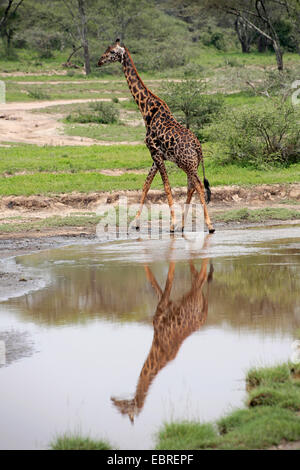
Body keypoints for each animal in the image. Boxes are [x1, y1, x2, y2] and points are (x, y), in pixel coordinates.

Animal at [97, 39, 214, 234]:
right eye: (106, 49)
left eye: (112, 51)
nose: (99, 61)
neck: (146, 110)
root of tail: (199, 148)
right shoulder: (155, 155)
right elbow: (146, 185)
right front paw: (135, 222)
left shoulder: (155, 153)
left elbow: (166, 186)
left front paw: (172, 223)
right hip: (191, 164)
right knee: (191, 186)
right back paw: (184, 224)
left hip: (186, 164)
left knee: (197, 185)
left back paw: (209, 225)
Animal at [110, 239, 213, 422]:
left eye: (123, 410)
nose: (113, 400)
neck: (159, 343)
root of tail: (205, 312)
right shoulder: (164, 304)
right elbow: (155, 282)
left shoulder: (162, 307)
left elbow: (167, 279)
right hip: (195, 292)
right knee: (195, 274)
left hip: (194, 293)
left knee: (200, 276)